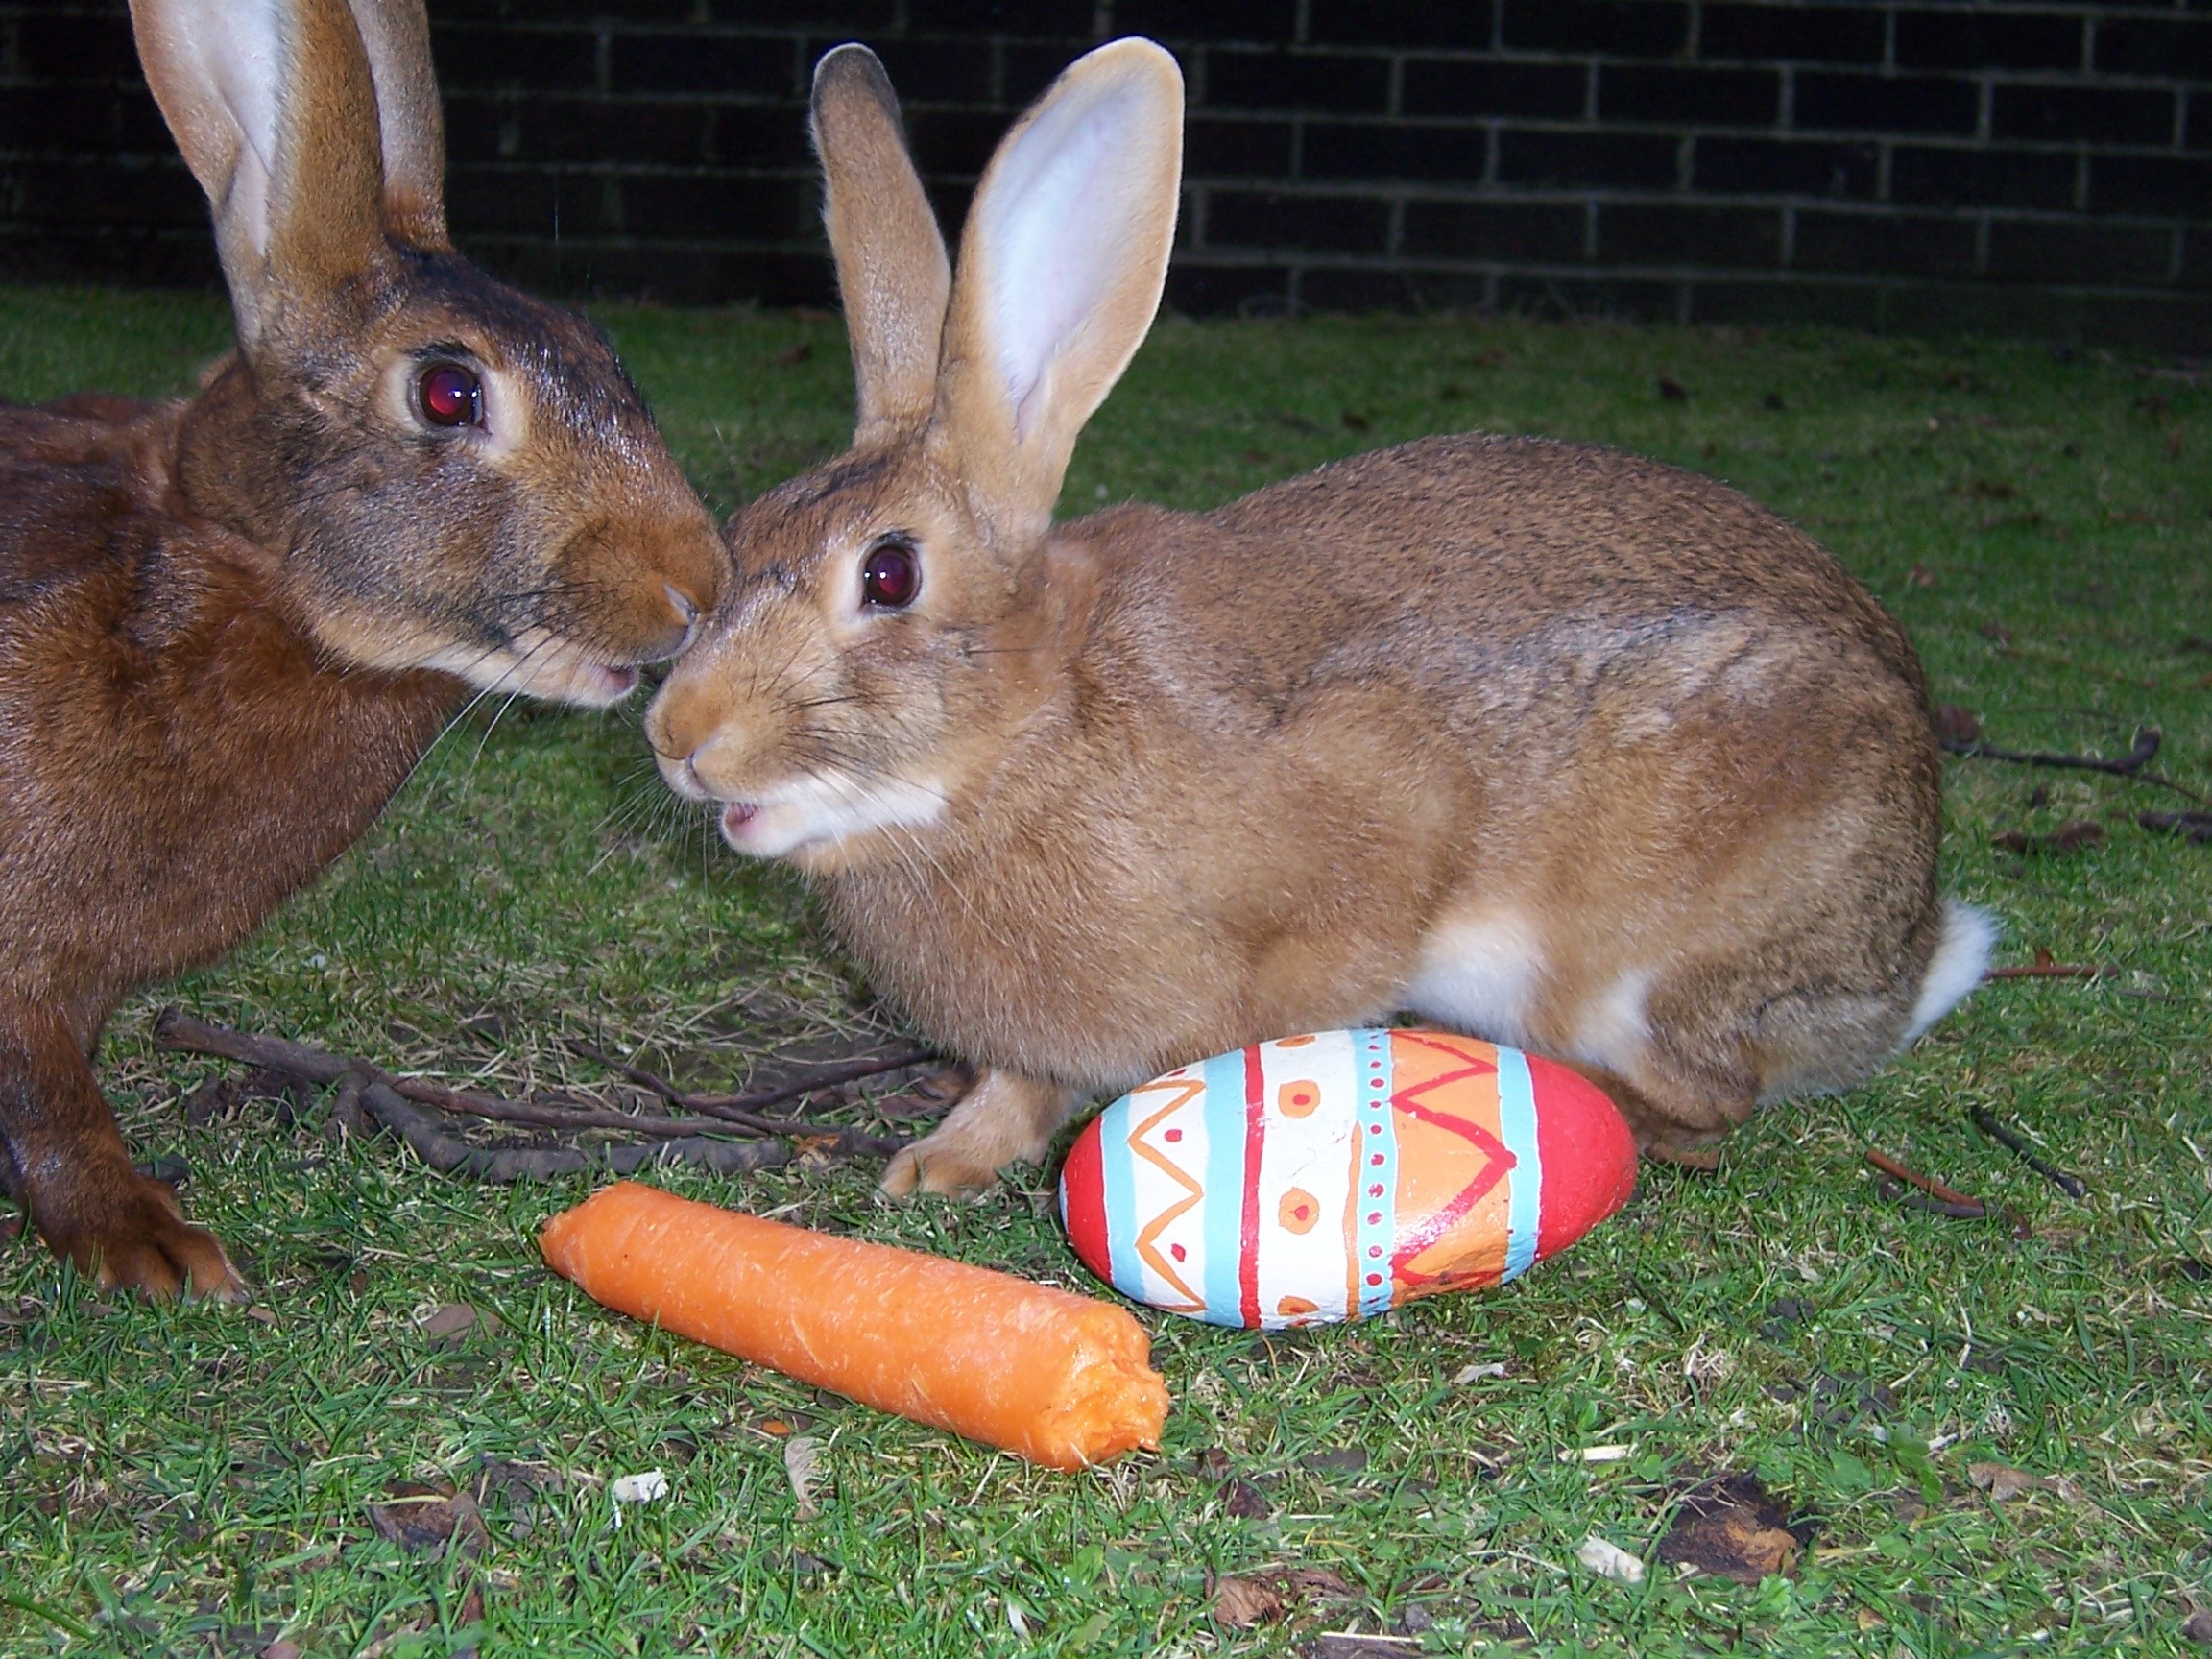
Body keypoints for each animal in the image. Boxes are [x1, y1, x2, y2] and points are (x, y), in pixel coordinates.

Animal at [0, 0, 725, 1300]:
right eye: (446, 393)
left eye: (600, 347)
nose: (695, 586)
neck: (240, 568)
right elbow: (52, 1105)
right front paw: (155, 1250)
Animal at [637, 38, 1990, 1203]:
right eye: (748, 524)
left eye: (888, 577)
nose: (677, 737)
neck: (1032, 733)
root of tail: (1909, 951)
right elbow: (1021, 1087)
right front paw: (937, 1165)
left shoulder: (1378, 823)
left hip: (1647, 948)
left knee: (1710, 1098)